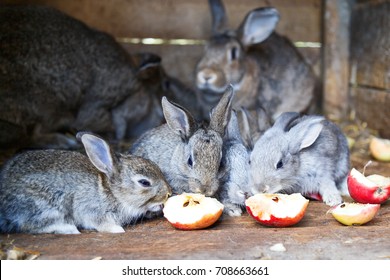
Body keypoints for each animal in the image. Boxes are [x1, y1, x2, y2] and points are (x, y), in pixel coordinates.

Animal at [0, 132, 171, 233]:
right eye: (144, 182)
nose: (168, 193)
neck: (111, 192)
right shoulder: (90, 209)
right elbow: (99, 222)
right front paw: (116, 229)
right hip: (45, 205)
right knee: (29, 224)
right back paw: (69, 229)